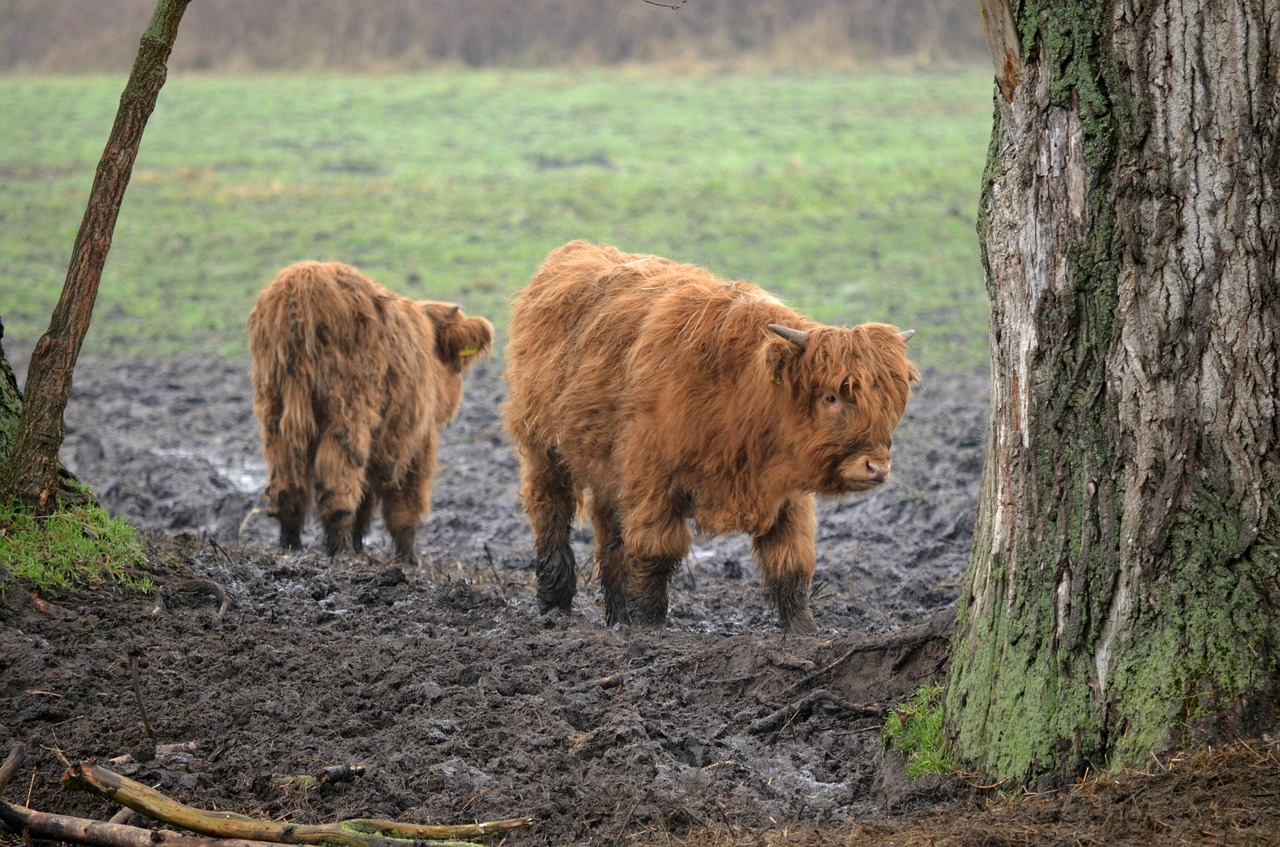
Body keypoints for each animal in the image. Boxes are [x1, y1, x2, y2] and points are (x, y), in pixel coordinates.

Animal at [247, 262, 491, 568]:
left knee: (288, 481)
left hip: (274, 408)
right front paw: (408, 559)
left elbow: (365, 499)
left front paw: (361, 548)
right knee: (338, 482)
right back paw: (339, 549)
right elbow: (403, 503)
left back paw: (291, 545)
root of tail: (303, 279)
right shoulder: (414, 439)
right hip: (348, 411)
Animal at [501, 241, 921, 634]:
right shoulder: (653, 478)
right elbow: (655, 551)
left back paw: (617, 616)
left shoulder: (788, 494)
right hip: (544, 449)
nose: (876, 467)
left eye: (889, 402)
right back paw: (554, 606)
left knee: (610, 535)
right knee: (550, 512)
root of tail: (574, 252)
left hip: (606, 465)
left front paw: (802, 630)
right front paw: (649, 627)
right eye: (831, 396)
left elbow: (791, 560)